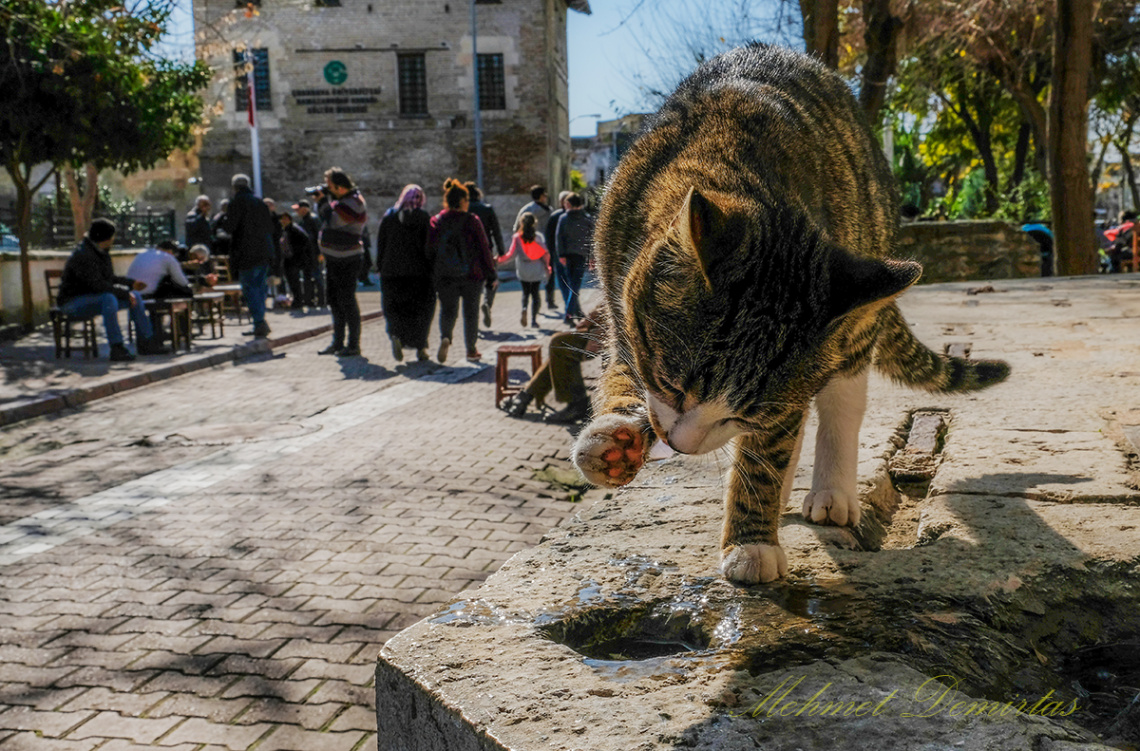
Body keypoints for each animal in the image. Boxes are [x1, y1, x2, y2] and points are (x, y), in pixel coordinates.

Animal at [570, 42, 1007, 588]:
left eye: (743, 411)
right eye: (672, 384)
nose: (681, 445)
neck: (728, 144)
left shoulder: (780, 401)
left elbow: (768, 450)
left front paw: (752, 541)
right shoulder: (619, 297)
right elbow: (624, 368)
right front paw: (613, 438)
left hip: (856, 313)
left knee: (842, 403)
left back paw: (831, 492)